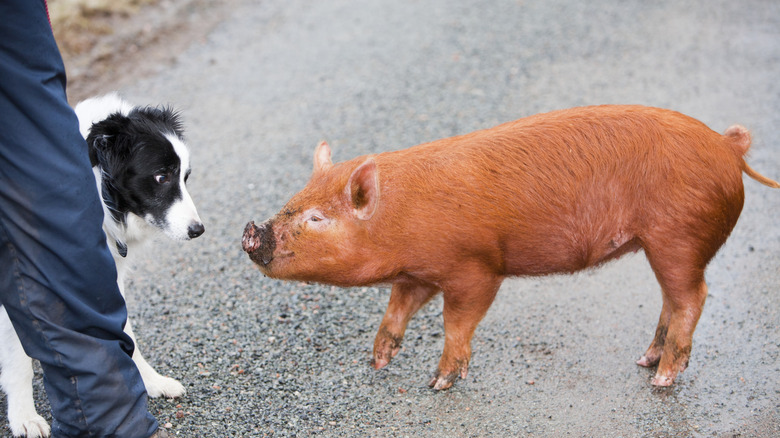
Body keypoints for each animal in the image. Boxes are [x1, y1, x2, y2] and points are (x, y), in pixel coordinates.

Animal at [0, 94, 204, 436]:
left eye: (185, 178)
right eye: (161, 177)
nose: (198, 230)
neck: (98, 191)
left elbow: (122, 331)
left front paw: (151, 381)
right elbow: (17, 360)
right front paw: (24, 417)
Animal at [241, 105, 776, 390]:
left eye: (317, 218)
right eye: (291, 202)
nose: (251, 231)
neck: (399, 220)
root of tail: (728, 147)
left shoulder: (474, 269)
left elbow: (456, 322)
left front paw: (438, 383)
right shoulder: (417, 273)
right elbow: (397, 308)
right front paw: (378, 361)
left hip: (678, 236)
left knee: (693, 297)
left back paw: (661, 379)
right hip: (662, 244)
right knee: (672, 299)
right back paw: (644, 360)